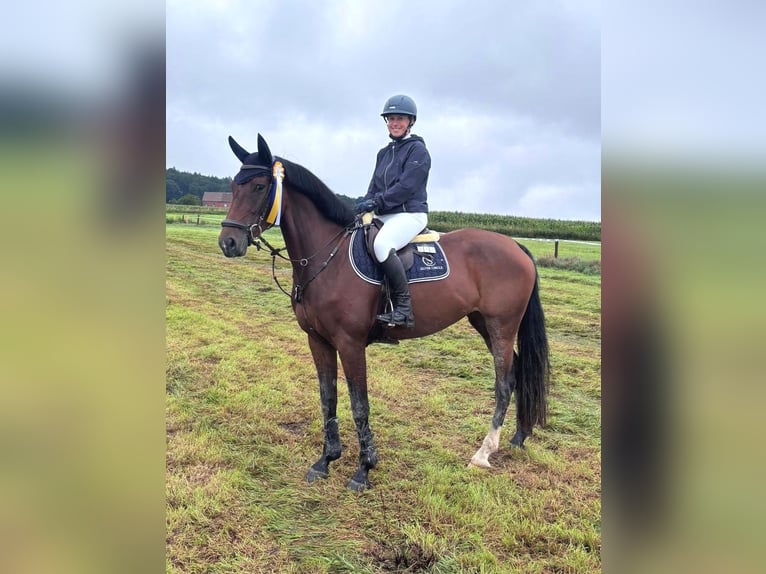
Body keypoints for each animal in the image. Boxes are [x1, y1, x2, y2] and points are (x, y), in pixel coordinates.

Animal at [218, 134, 550, 492]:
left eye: (259, 186)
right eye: (233, 186)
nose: (228, 242)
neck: (328, 257)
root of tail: (515, 246)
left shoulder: (350, 344)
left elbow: (359, 403)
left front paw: (363, 469)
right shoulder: (318, 341)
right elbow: (328, 398)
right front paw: (325, 461)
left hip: (501, 325)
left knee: (504, 383)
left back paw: (483, 453)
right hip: (484, 323)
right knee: (517, 374)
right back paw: (518, 438)